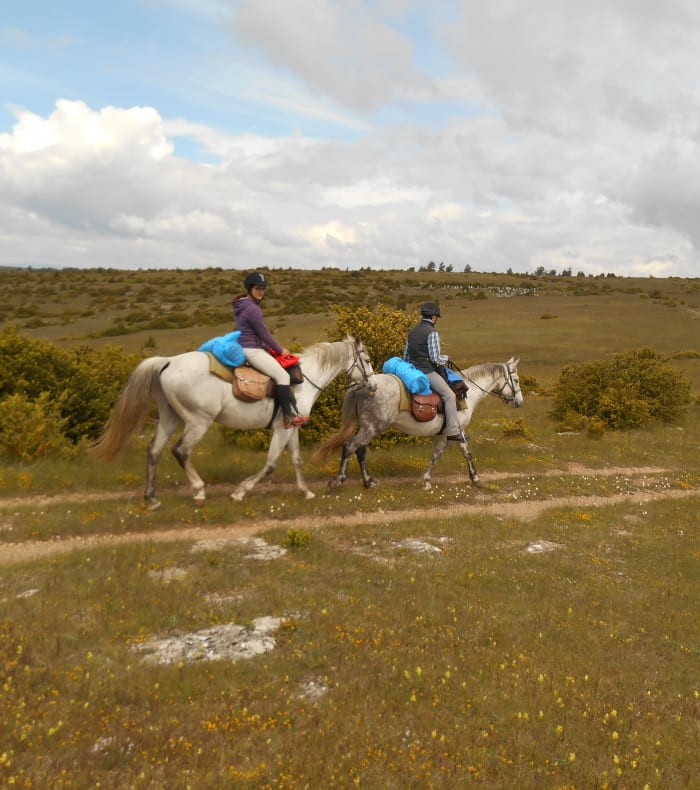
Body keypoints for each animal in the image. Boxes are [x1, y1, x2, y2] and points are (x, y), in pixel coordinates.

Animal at [92, 337, 374, 509]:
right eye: (367, 360)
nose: (371, 385)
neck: (304, 380)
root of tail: (169, 361)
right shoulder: (281, 429)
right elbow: (271, 464)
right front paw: (240, 491)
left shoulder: (290, 427)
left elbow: (296, 460)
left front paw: (306, 491)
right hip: (198, 421)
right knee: (180, 450)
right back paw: (198, 491)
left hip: (170, 418)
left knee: (154, 450)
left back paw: (152, 498)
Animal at [314, 358, 522, 491]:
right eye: (517, 380)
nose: (519, 402)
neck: (468, 393)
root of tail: (362, 385)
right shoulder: (450, 432)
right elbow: (437, 455)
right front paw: (426, 481)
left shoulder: (459, 431)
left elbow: (467, 453)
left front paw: (476, 479)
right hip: (372, 428)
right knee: (350, 447)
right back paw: (338, 481)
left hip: (368, 427)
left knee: (360, 451)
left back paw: (369, 482)